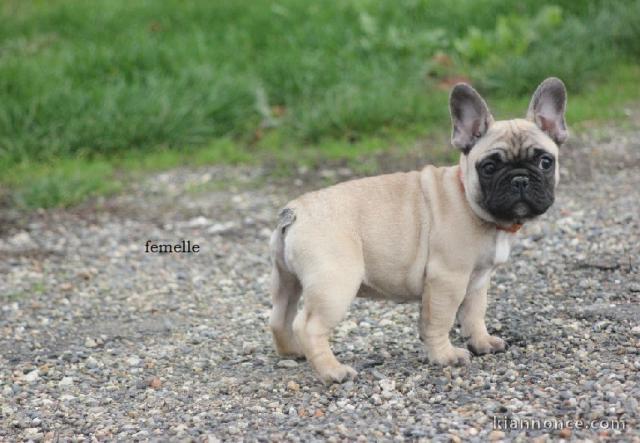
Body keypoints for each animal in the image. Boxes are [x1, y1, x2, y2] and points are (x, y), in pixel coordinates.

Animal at [268, 78, 568, 384]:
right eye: (489, 167)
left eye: (545, 162)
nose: (520, 179)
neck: (468, 199)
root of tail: (295, 211)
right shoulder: (447, 279)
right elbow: (440, 320)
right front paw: (445, 356)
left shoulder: (476, 282)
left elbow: (473, 314)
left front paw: (481, 343)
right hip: (335, 284)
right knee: (308, 325)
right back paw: (332, 371)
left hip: (287, 279)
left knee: (280, 316)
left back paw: (294, 352)